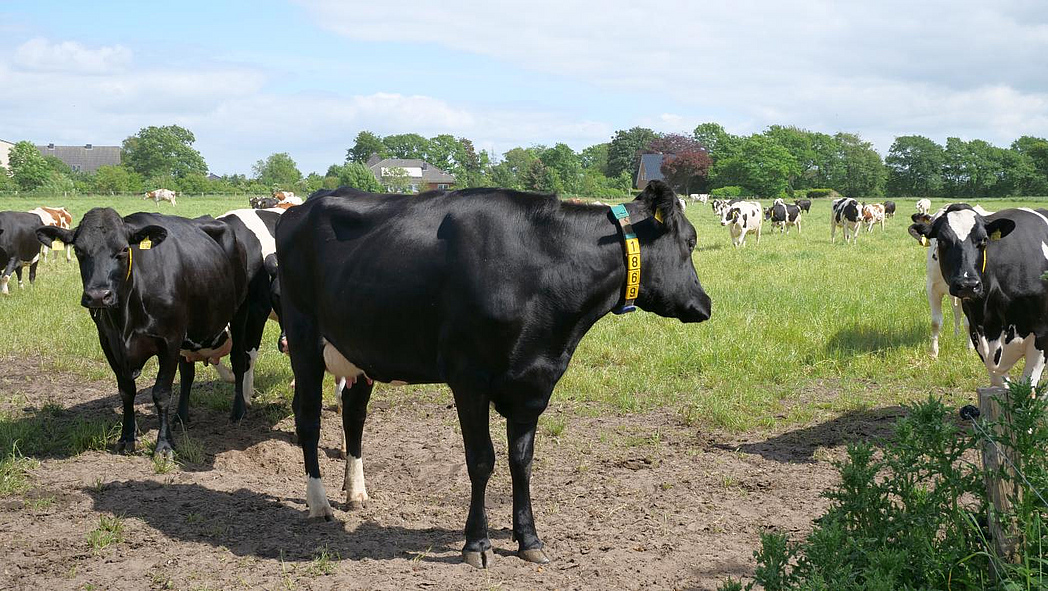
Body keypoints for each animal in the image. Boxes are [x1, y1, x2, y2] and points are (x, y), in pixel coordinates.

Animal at [37, 209, 251, 454]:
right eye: (79, 250)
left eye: (123, 249)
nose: (99, 296)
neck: (125, 318)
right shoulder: (108, 342)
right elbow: (126, 390)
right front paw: (127, 437)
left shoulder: (170, 340)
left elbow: (161, 393)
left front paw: (164, 445)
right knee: (187, 373)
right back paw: (180, 417)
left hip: (240, 312)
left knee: (238, 360)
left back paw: (238, 412)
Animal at [274, 180, 712, 565]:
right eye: (690, 241)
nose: (705, 304)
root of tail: (302, 206)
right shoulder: (469, 378)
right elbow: (482, 460)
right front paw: (477, 544)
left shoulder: (532, 383)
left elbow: (522, 462)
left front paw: (529, 539)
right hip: (302, 336)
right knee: (308, 416)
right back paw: (319, 503)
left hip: (360, 350)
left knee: (353, 413)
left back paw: (355, 493)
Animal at [905, 205, 1048, 385]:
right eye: (941, 240)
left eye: (984, 240)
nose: (967, 284)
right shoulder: (933, 288)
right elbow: (936, 322)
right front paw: (933, 353)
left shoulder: (1040, 339)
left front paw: (968, 349)